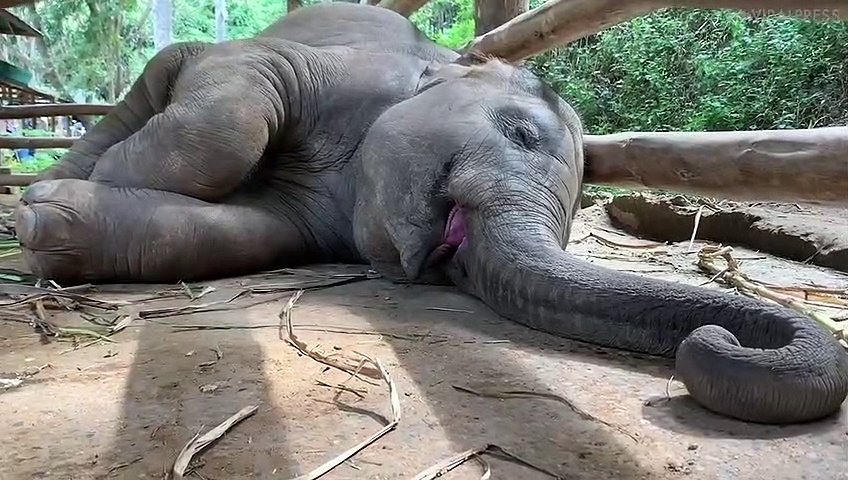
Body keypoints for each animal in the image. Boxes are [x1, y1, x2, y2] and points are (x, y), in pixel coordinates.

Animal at [15, 3, 848, 425]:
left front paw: (46, 222)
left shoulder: (319, 216)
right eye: (522, 135)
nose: (719, 335)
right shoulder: (334, 66)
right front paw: (45, 203)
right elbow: (236, 105)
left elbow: (243, 235)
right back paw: (58, 173)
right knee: (161, 78)